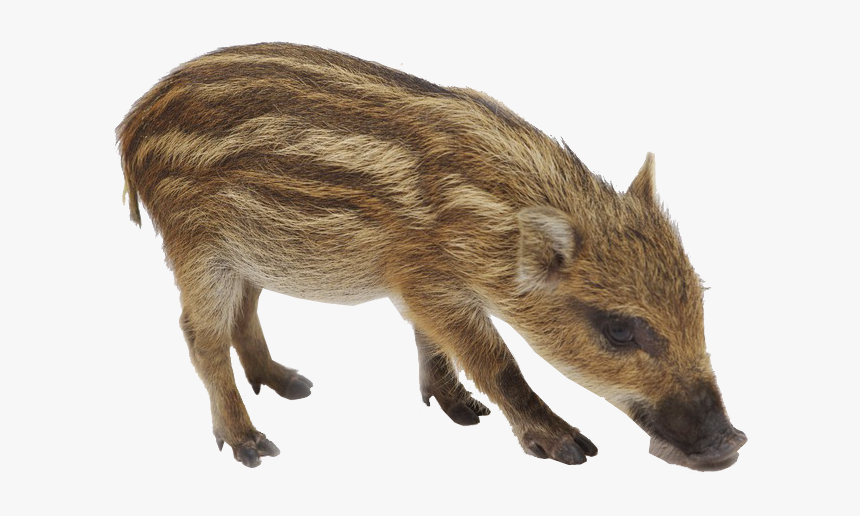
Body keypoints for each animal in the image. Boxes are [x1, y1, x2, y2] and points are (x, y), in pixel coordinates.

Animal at [117, 42, 747, 470]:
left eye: (700, 302)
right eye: (618, 330)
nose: (732, 444)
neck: (488, 218)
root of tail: (132, 124)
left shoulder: (419, 287)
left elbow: (432, 341)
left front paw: (460, 411)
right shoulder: (428, 280)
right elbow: (496, 361)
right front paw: (570, 447)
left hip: (246, 253)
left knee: (245, 313)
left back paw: (292, 384)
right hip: (197, 248)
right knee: (200, 336)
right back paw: (252, 445)